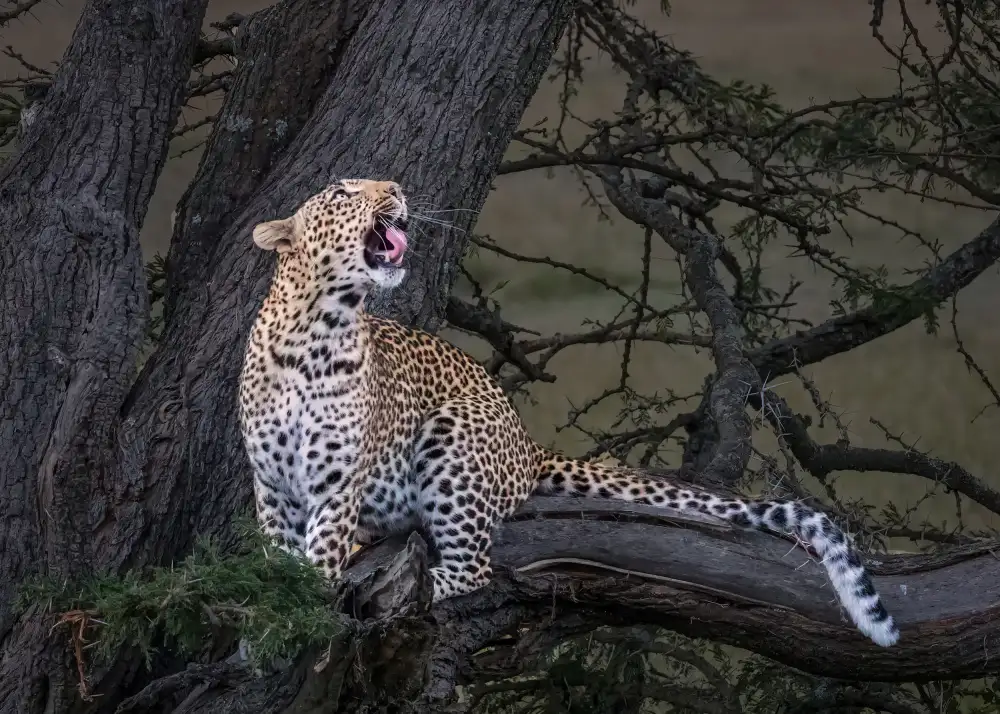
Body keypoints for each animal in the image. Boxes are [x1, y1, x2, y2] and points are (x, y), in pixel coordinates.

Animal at [237, 178, 900, 648]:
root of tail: (527, 442)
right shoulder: (272, 487)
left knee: (472, 568)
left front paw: (310, 608)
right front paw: (273, 611)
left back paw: (408, 592)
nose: (396, 188)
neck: (317, 331)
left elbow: (319, 558)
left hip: (453, 436)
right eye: (342, 192)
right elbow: (278, 558)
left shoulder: (336, 485)